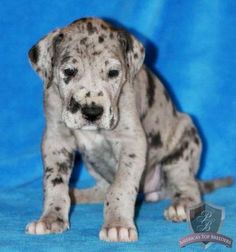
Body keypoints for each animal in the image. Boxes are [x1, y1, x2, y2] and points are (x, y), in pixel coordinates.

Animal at [26, 18, 232, 242]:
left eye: (113, 73)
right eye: (69, 71)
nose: (91, 112)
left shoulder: (131, 141)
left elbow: (121, 186)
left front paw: (117, 224)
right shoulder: (56, 141)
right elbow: (55, 183)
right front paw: (50, 218)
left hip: (183, 147)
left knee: (189, 185)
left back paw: (182, 205)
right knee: (101, 189)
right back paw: (78, 195)